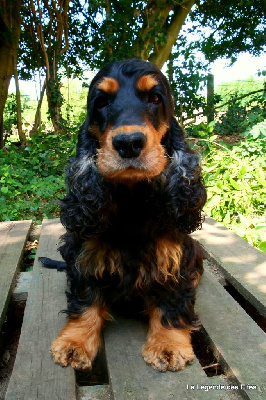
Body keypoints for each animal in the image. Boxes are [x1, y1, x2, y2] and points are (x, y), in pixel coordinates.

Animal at [50, 58, 208, 372]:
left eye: (155, 98)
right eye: (101, 102)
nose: (128, 143)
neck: (131, 197)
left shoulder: (175, 256)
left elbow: (172, 298)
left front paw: (168, 345)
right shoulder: (83, 252)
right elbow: (85, 298)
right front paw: (75, 342)